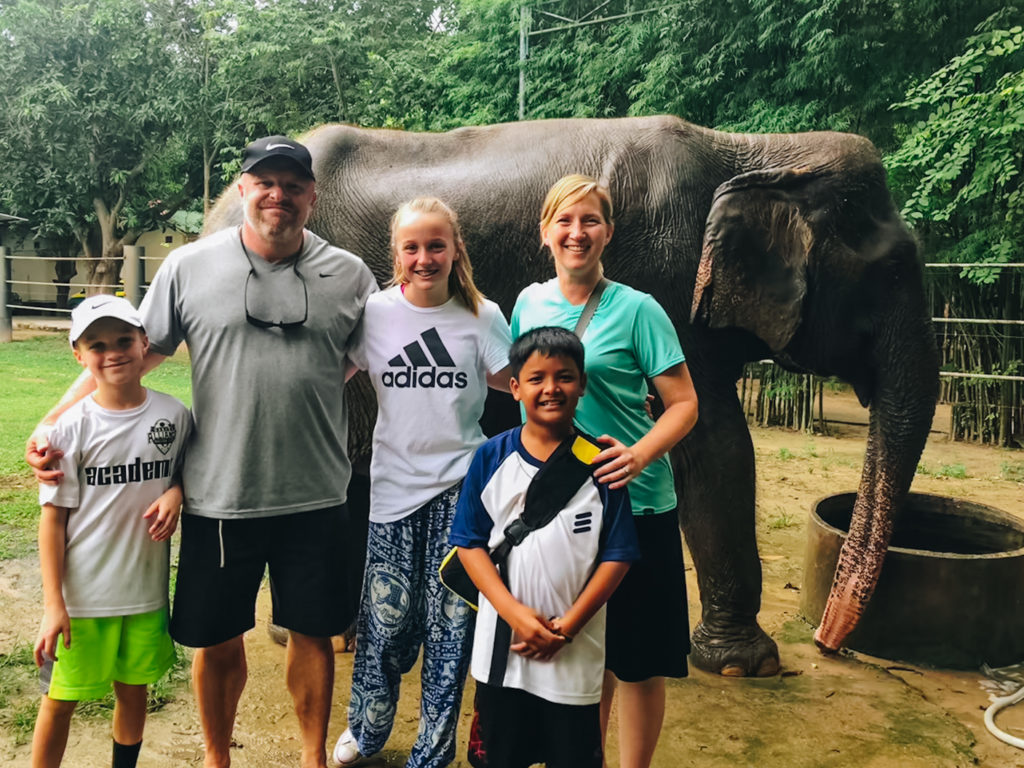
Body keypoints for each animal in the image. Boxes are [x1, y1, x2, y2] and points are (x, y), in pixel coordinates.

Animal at [203, 115, 937, 679]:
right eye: (896, 269)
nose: (826, 643)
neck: (755, 150)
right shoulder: (668, 281)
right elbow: (715, 444)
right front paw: (745, 668)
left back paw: (327, 634)